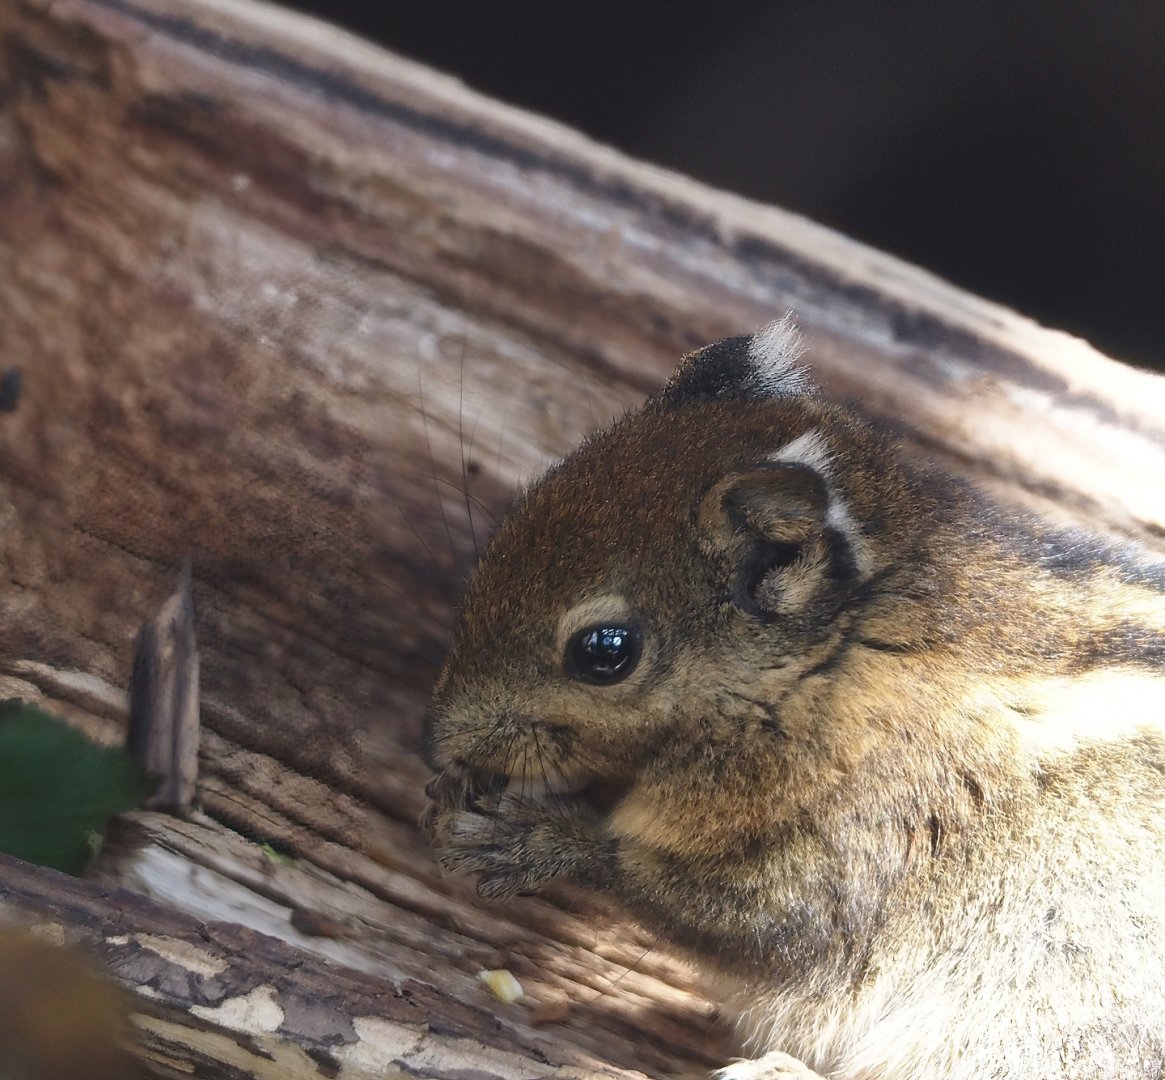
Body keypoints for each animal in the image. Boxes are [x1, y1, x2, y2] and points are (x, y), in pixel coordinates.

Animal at [420, 317, 1165, 1080]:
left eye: (604, 652)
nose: (437, 741)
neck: (838, 661)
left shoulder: (852, 850)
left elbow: (714, 910)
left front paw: (534, 840)